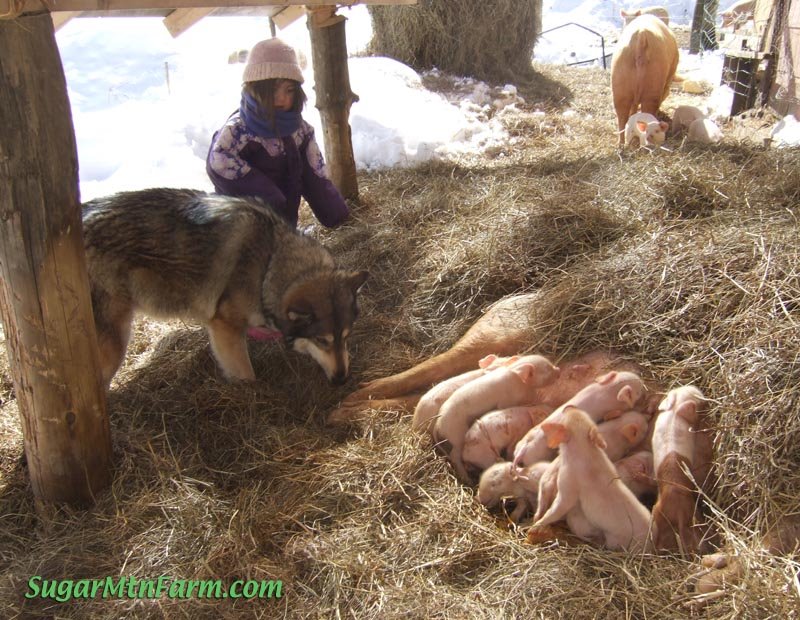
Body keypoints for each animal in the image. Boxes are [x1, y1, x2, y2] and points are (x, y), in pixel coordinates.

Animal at [81, 186, 368, 388]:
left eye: (346, 337)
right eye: (322, 340)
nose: (342, 379)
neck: (268, 264)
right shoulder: (224, 328)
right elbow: (246, 374)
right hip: (114, 345)